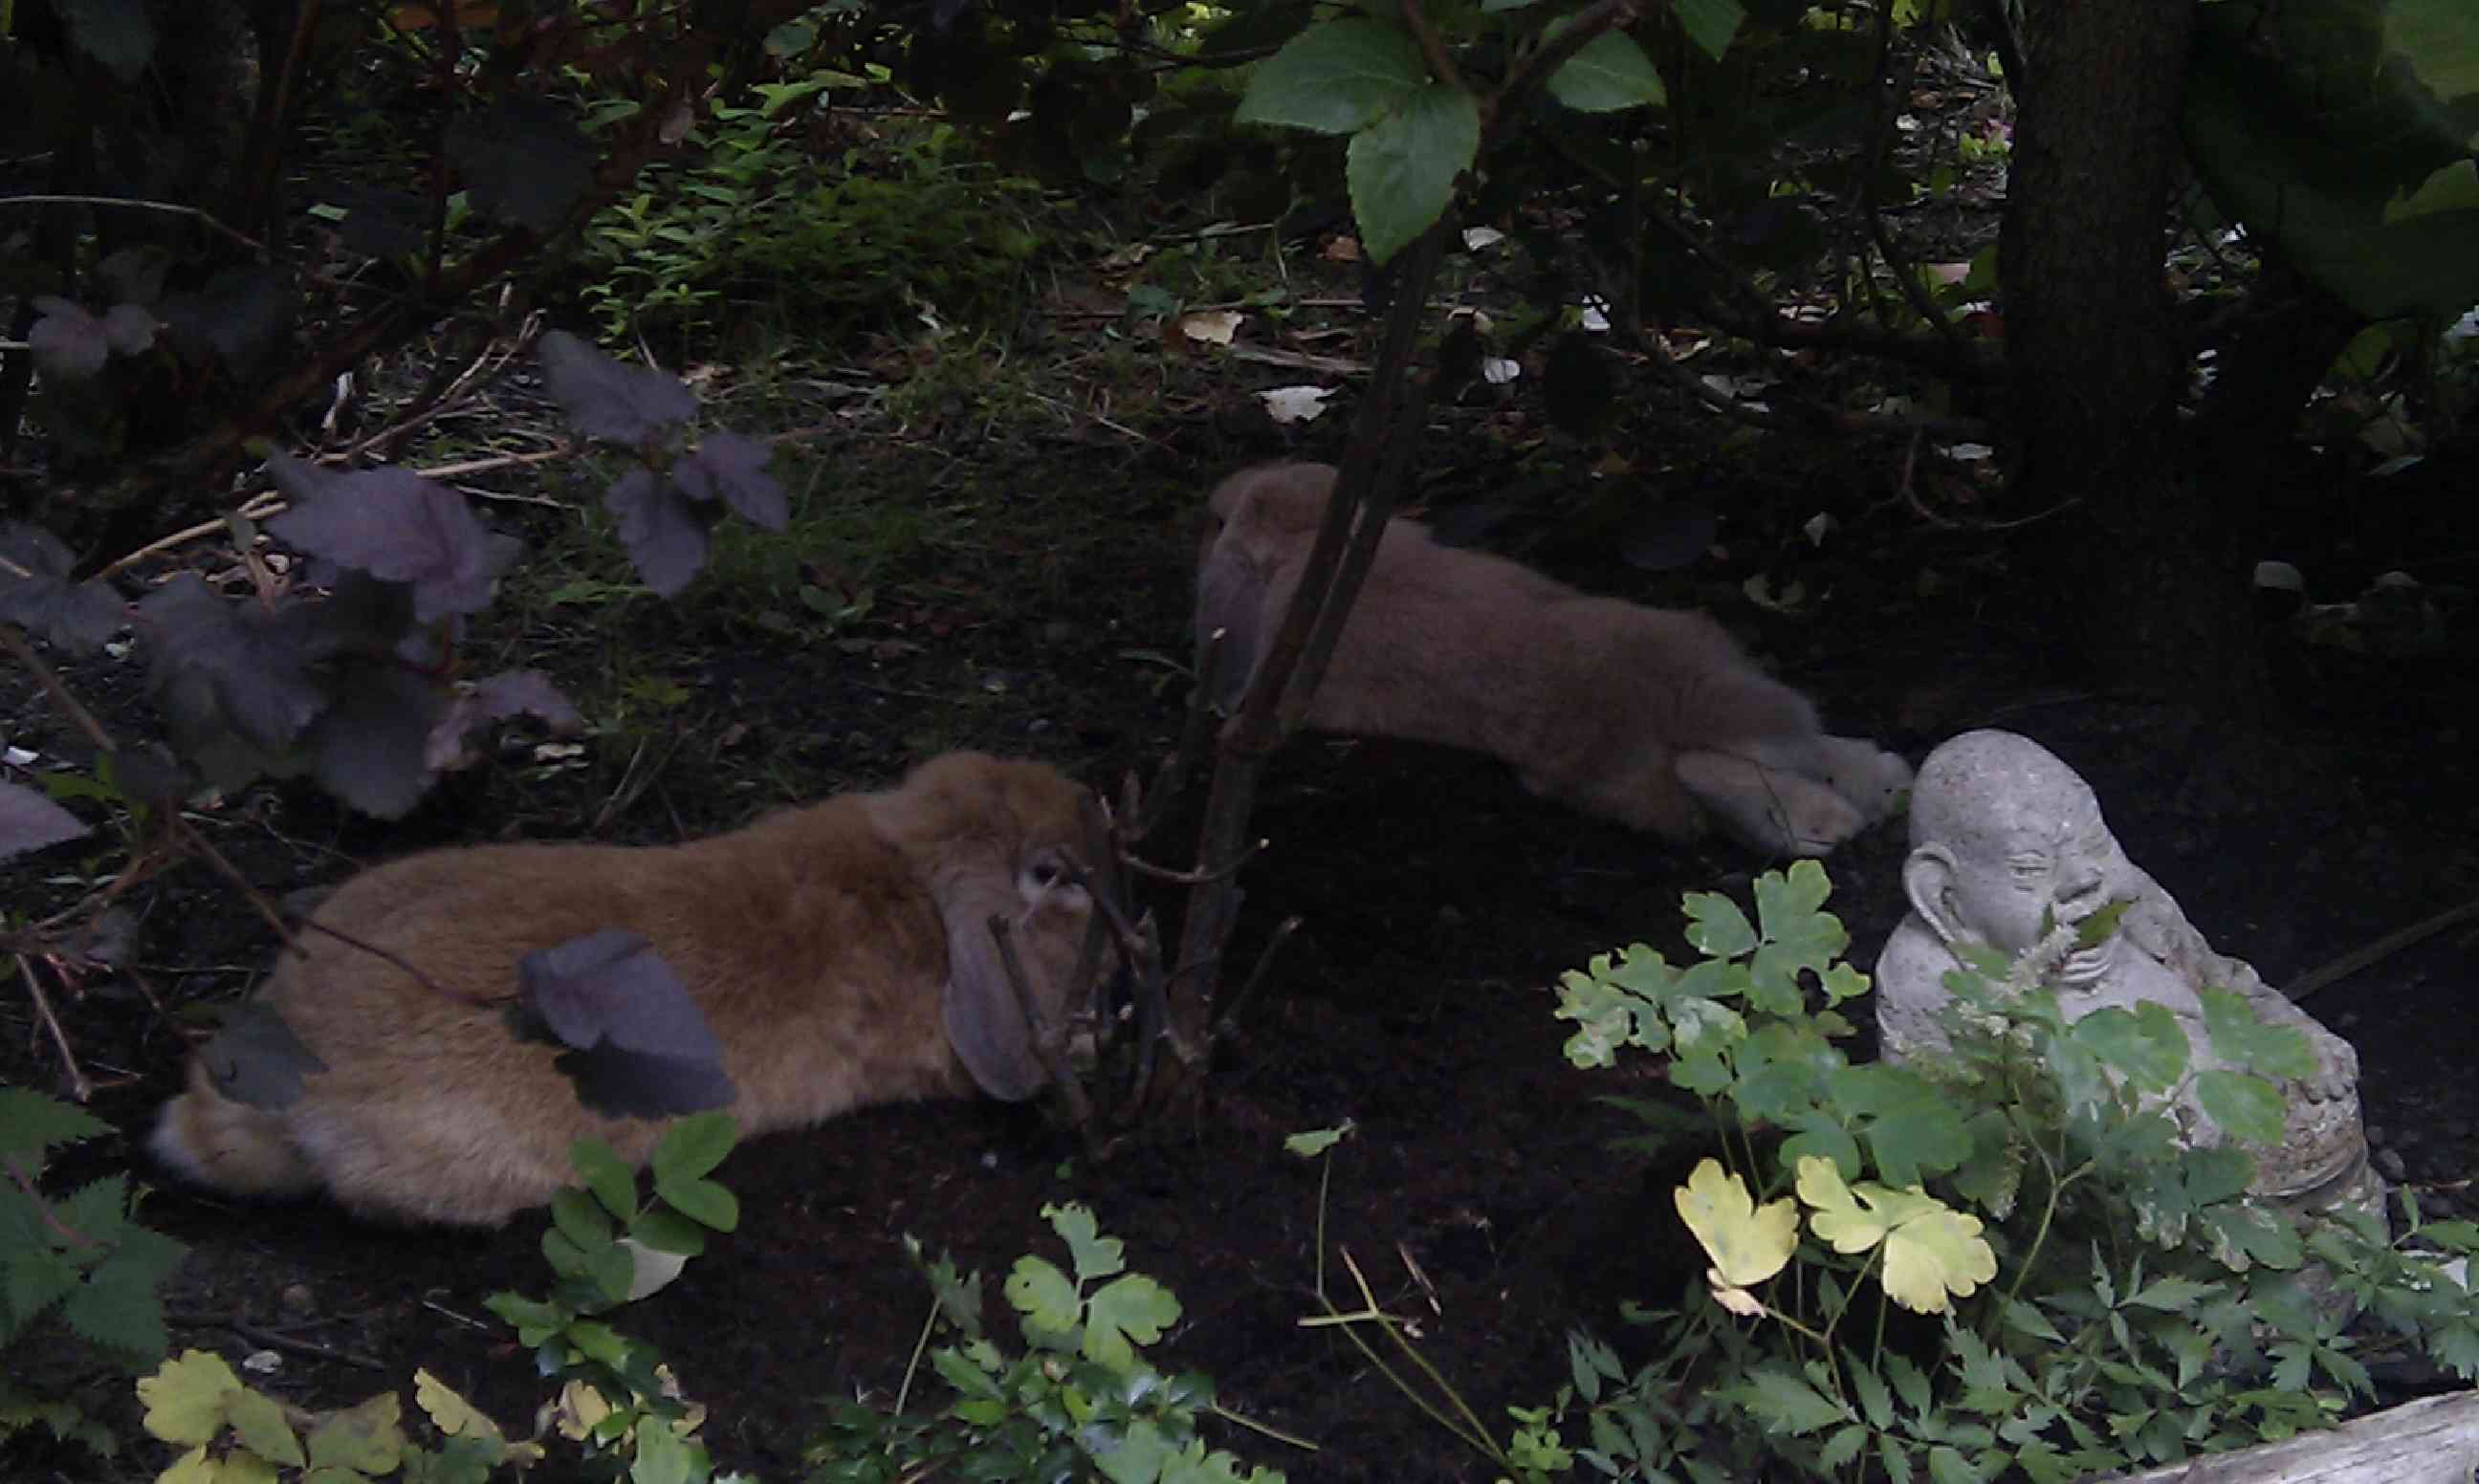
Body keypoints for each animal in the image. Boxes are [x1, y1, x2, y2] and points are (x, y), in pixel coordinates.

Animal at [1195, 462, 1912, 856]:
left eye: (1222, 523)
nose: (1215, 507)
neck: (1309, 537)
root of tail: (1661, 700)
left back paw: (1832, 819)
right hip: (1717, 675)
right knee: (1788, 750)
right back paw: (1874, 788)